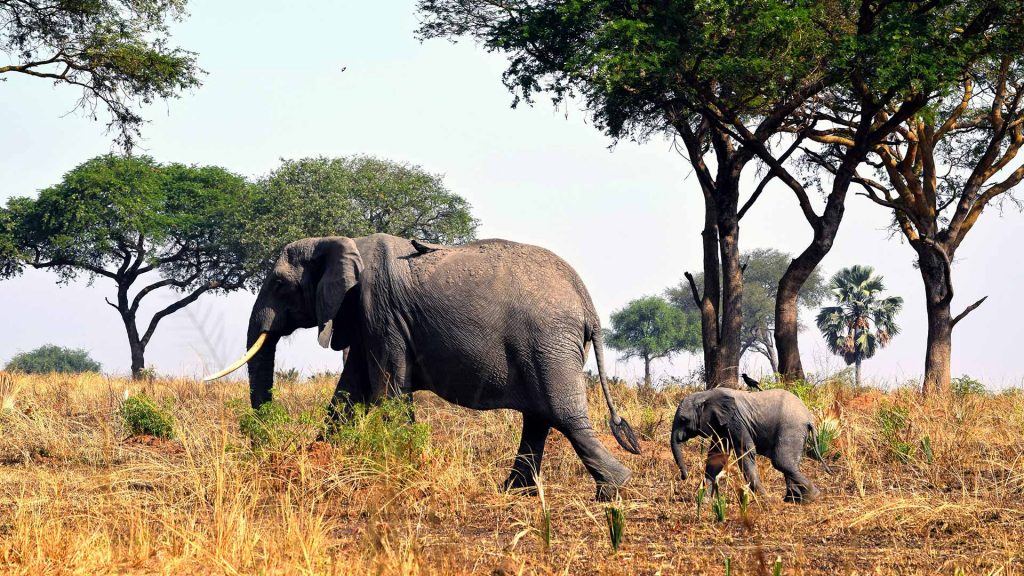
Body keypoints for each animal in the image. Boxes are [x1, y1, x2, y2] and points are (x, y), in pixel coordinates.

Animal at [205, 233, 638, 498]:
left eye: (280, 285)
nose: (267, 452)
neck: (342, 242)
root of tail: (587, 304)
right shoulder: (364, 318)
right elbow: (350, 392)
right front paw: (315, 459)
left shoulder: (380, 310)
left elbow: (387, 392)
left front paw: (403, 467)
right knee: (540, 417)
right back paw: (515, 492)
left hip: (548, 341)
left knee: (563, 415)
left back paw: (613, 490)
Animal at [671, 385, 831, 502]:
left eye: (684, 419)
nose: (684, 476)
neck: (706, 394)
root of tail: (809, 418)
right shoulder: (721, 425)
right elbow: (716, 457)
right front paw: (704, 503)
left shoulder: (735, 421)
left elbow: (746, 451)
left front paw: (765, 499)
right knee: (790, 463)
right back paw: (793, 500)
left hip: (791, 428)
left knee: (782, 462)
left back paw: (811, 497)